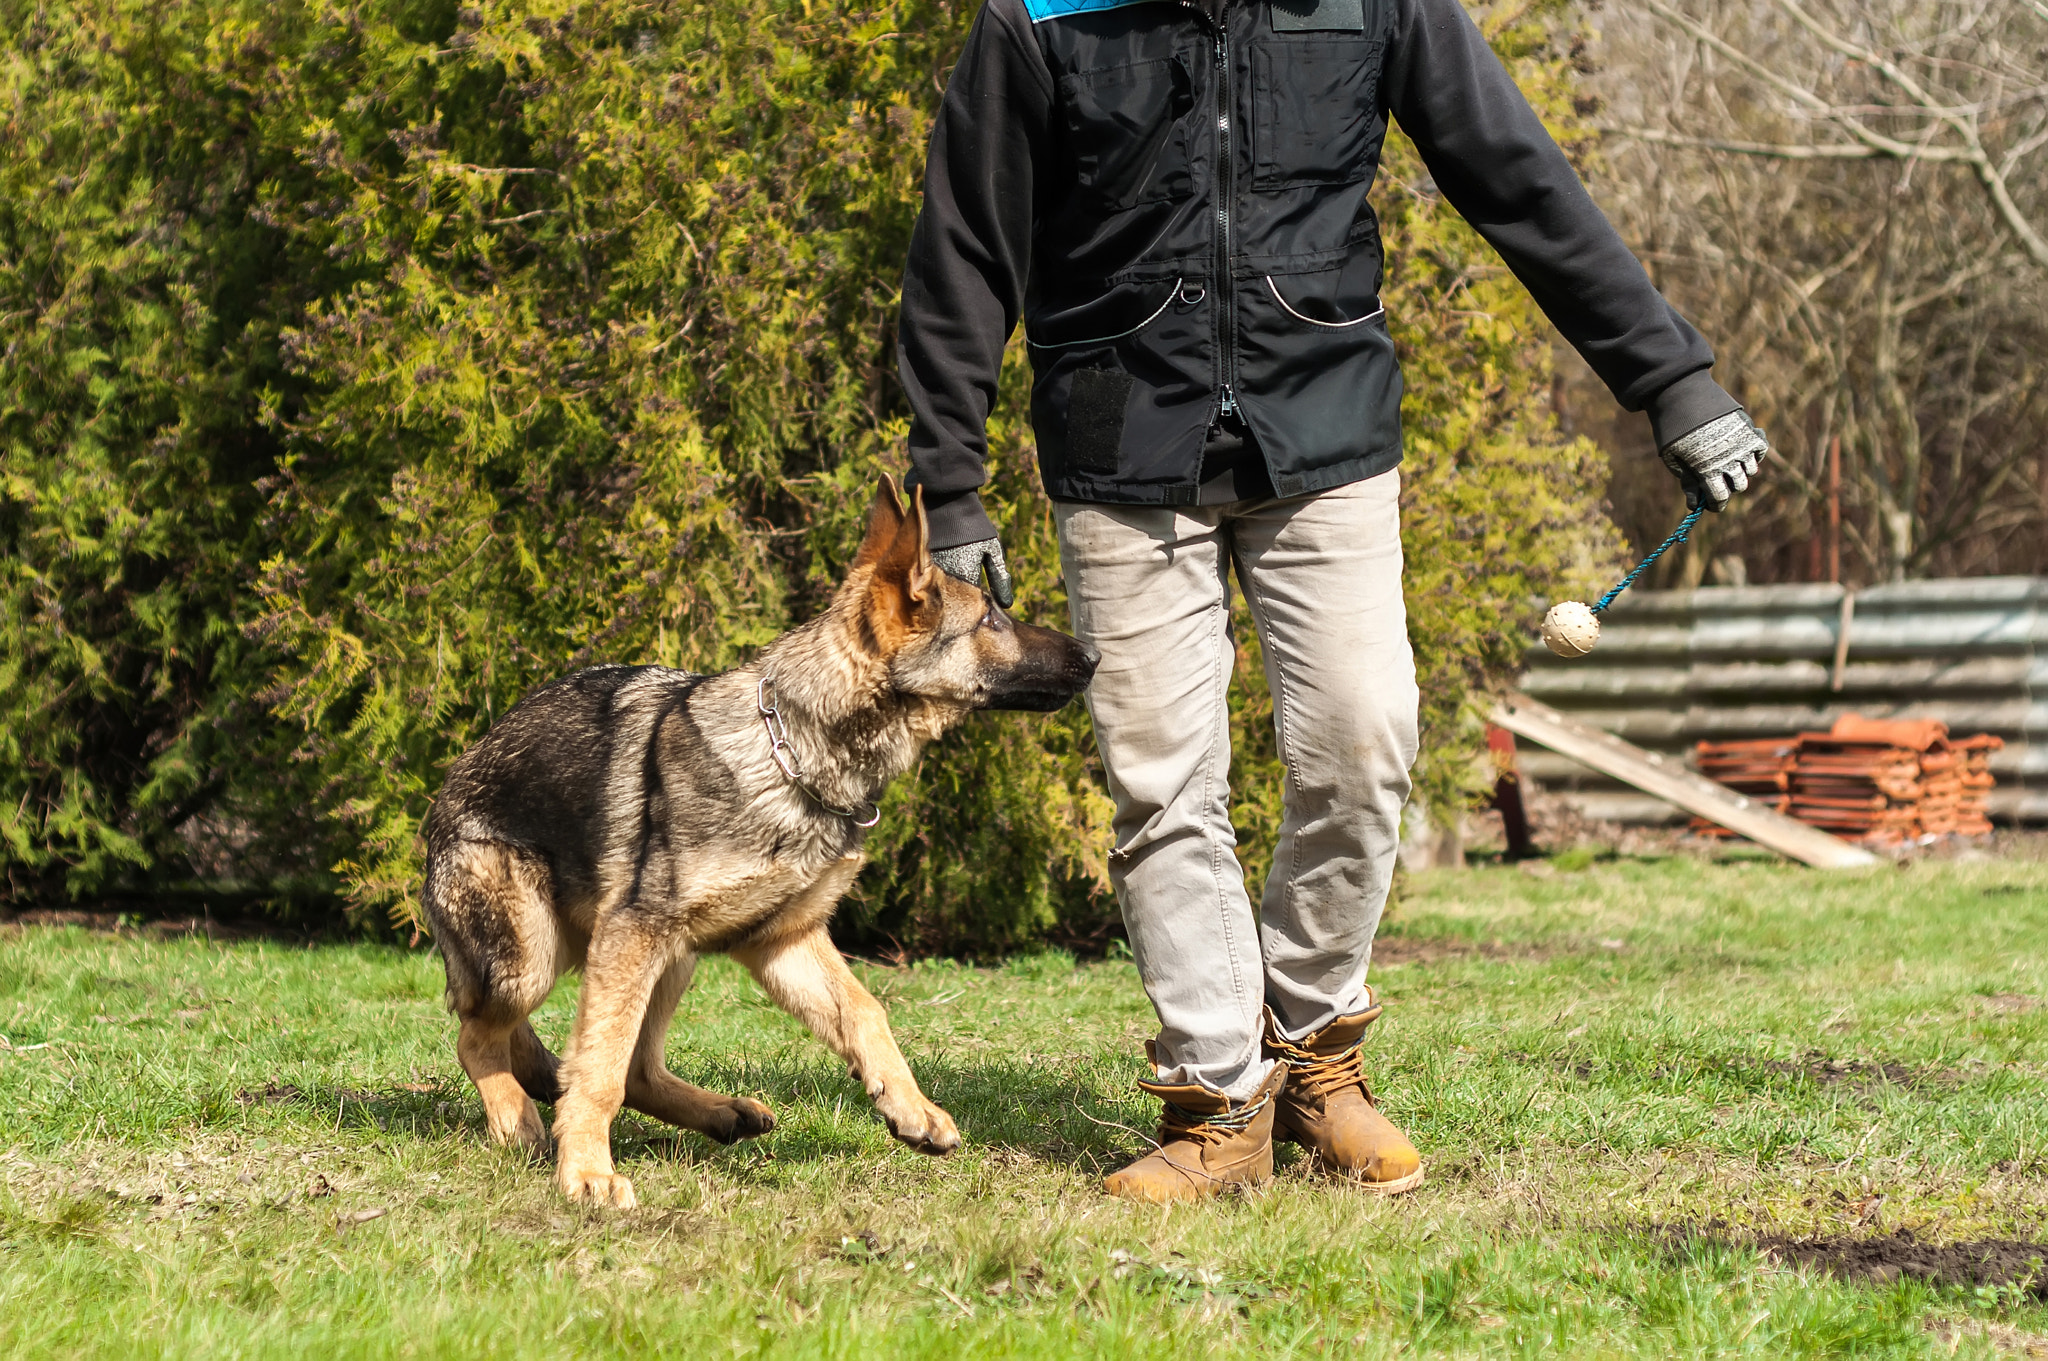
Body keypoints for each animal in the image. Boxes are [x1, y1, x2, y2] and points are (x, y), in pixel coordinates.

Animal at [423, 472, 1105, 1203]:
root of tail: (440, 803)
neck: (794, 751)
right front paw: (586, 1172)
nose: (1096, 655)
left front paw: (911, 1108)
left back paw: (722, 1111)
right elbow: (598, 1068)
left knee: (629, 1066)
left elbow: (866, 1010)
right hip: (534, 958)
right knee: (481, 1038)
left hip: (672, 957)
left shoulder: (782, 940)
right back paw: (517, 1117)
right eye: (990, 621)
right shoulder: (636, 932)